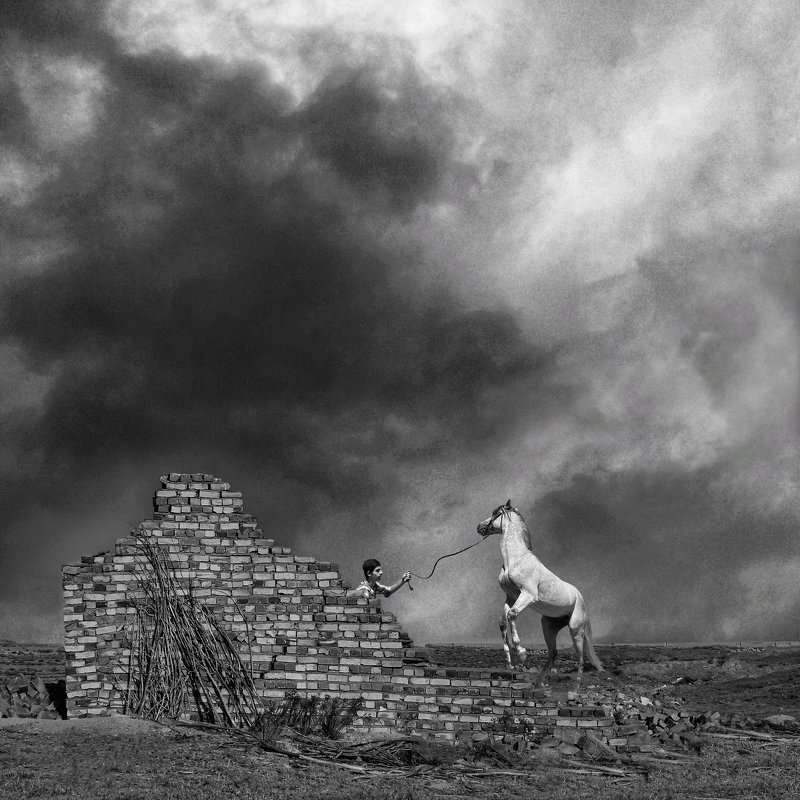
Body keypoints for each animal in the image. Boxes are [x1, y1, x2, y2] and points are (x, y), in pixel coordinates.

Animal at [477, 499, 603, 693]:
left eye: (495, 513)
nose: (479, 527)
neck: (516, 560)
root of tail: (581, 598)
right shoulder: (510, 597)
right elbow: (503, 621)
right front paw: (509, 660)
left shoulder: (527, 595)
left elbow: (512, 615)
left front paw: (521, 653)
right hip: (548, 626)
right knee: (553, 654)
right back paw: (538, 684)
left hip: (575, 629)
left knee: (581, 658)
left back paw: (573, 691)